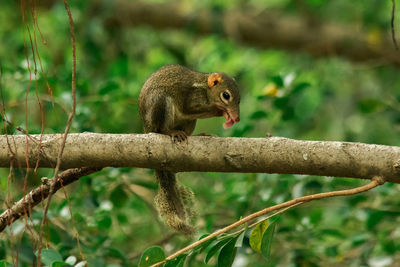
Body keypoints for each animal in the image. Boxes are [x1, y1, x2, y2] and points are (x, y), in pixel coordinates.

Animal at [139, 64, 241, 234]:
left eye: (240, 99)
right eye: (226, 95)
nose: (237, 118)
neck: (206, 90)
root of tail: (147, 127)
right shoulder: (190, 100)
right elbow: (190, 109)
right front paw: (219, 111)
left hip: (189, 122)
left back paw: (197, 135)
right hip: (161, 103)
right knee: (161, 129)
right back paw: (171, 132)